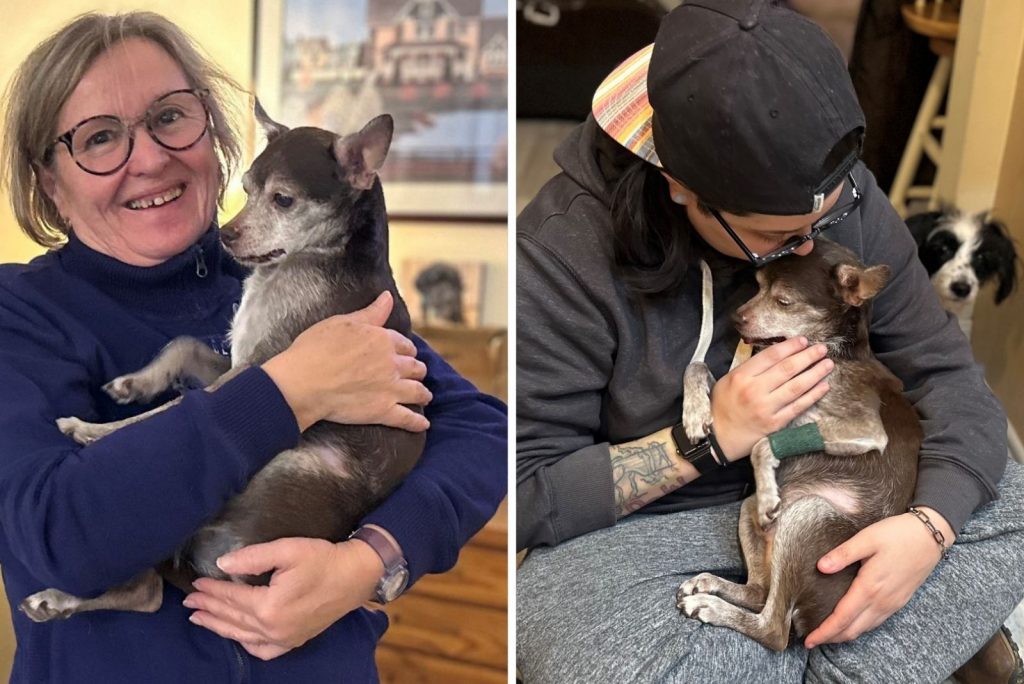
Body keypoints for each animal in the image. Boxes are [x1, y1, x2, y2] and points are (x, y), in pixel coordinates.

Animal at [675, 240, 925, 651]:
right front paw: (695, 413)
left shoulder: (863, 430)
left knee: (774, 630)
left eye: (783, 301)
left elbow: (763, 443)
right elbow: (695, 367)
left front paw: (768, 487)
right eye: (757, 285)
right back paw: (712, 584)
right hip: (750, 513)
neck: (831, 349)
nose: (735, 320)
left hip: (806, 517)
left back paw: (712, 605)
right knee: (760, 591)